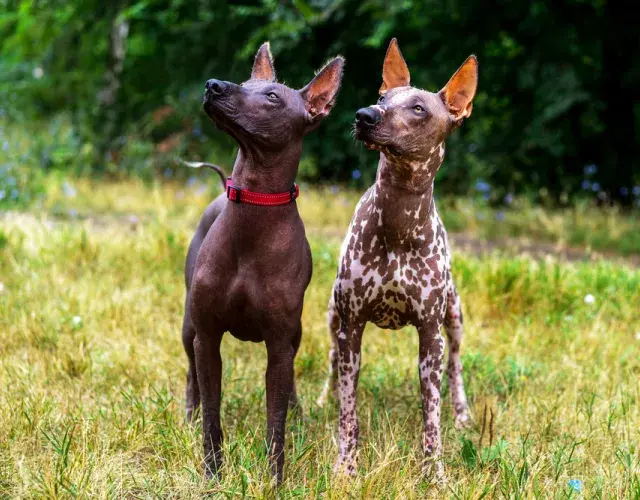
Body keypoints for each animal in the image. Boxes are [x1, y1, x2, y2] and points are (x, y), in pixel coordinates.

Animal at [184, 45, 344, 482]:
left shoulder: (279, 344)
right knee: (191, 375)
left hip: (295, 337)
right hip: (189, 328)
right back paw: (187, 414)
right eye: (245, 81)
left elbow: (276, 421)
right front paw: (212, 474)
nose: (213, 85)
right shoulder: (208, 337)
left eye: (272, 96)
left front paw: (274, 479)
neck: (254, 208)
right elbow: (212, 415)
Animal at [318, 37, 476, 478]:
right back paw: (323, 399)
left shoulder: (430, 337)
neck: (399, 219)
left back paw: (463, 414)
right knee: (332, 361)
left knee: (456, 367)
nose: (365, 115)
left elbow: (431, 416)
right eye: (382, 97)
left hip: (454, 317)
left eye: (418, 108)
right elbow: (349, 412)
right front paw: (346, 466)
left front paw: (434, 473)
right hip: (333, 315)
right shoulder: (351, 326)